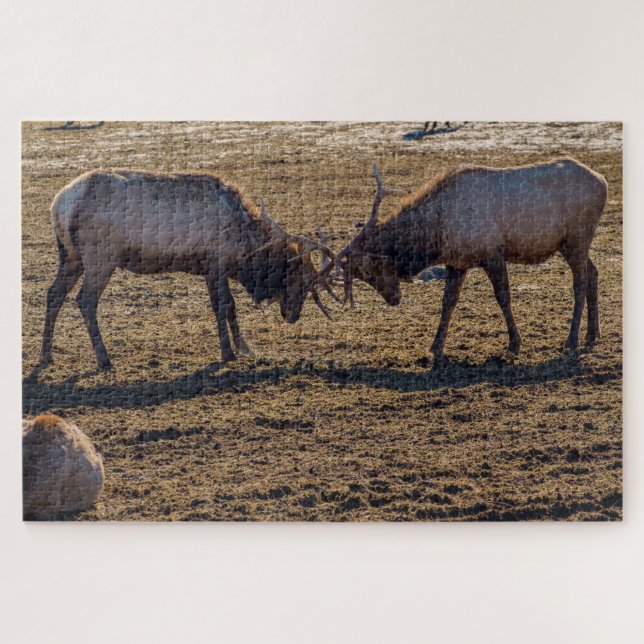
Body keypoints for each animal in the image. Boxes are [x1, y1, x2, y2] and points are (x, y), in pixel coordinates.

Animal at [38, 170, 338, 370]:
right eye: (301, 278)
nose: (293, 315)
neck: (246, 250)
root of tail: (59, 205)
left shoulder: (211, 268)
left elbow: (230, 307)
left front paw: (244, 348)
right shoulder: (216, 264)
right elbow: (222, 306)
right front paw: (227, 353)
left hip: (71, 256)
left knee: (54, 293)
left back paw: (46, 356)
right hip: (100, 256)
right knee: (85, 299)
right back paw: (104, 359)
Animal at [336, 158, 608, 367]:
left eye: (367, 267)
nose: (393, 298)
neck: (436, 233)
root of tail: (602, 181)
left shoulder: (492, 253)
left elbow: (503, 297)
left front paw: (514, 343)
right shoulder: (457, 263)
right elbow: (448, 303)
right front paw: (436, 347)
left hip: (577, 238)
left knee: (580, 282)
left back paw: (571, 340)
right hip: (570, 244)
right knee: (594, 272)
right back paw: (592, 334)